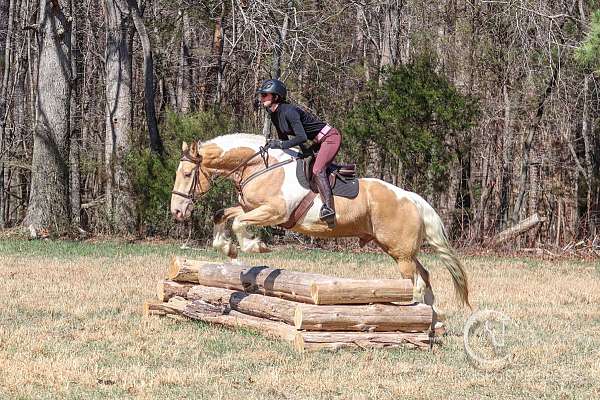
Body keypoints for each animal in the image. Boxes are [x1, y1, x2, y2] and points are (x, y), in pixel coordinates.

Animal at [169, 134, 468, 310]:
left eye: (187, 174)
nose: (177, 212)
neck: (261, 167)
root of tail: (412, 199)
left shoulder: (275, 212)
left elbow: (240, 223)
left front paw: (254, 246)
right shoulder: (250, 207)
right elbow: (223, 215)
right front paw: (228, 248)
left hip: (400, 254)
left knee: (414, 281)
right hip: (399, 250)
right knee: (425, 275)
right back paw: (433, 317)